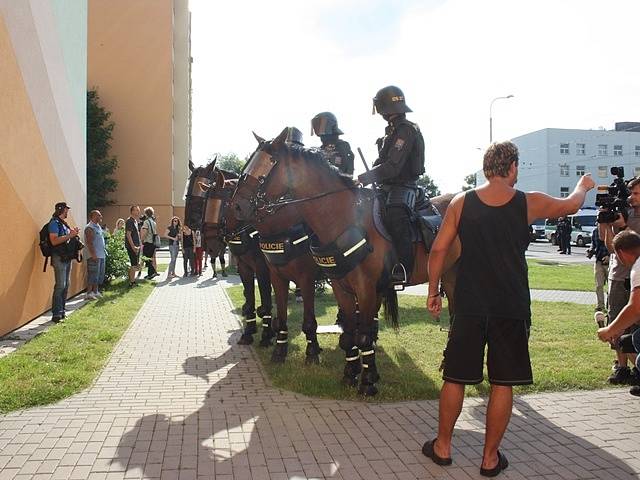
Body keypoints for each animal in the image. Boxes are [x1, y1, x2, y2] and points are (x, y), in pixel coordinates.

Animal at [186, 161, 274, 344]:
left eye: (199, 193)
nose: (189, 222)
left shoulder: (262, 267)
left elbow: (265, 297)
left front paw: (266, 333)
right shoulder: (244, 265)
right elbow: (249, 295)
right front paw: (249, 331)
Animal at [234, 127, 460, 394]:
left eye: (268, 164)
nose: (237, 206)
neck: (340, 218)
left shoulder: (357, 287)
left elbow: (358, 334)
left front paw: (367, 380)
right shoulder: (336, 285)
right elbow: (348, 333)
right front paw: (350, 373)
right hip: (445, 277)